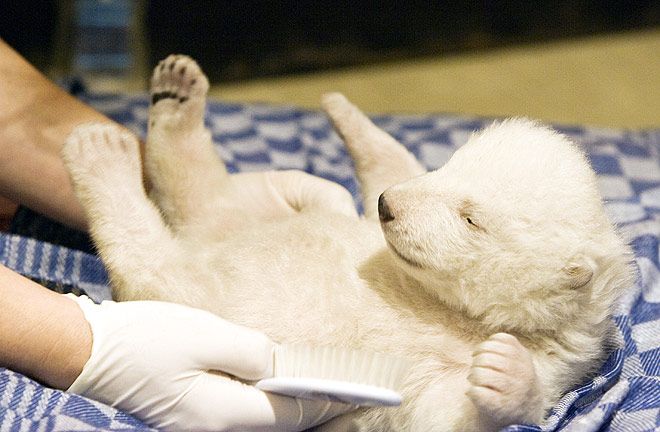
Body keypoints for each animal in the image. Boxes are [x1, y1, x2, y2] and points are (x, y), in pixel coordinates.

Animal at [61, 55, 635, 431]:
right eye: (447, 167)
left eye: (471, 219)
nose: (386, 206)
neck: (460, 316)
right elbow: (393, 162)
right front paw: (347, 116)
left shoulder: (528, 363)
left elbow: (452, 413)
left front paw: (503, 374)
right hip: (233, 231)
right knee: (198, 198)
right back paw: (171, 101)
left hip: (204, 310)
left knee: (158, 267)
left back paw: (102, 154)